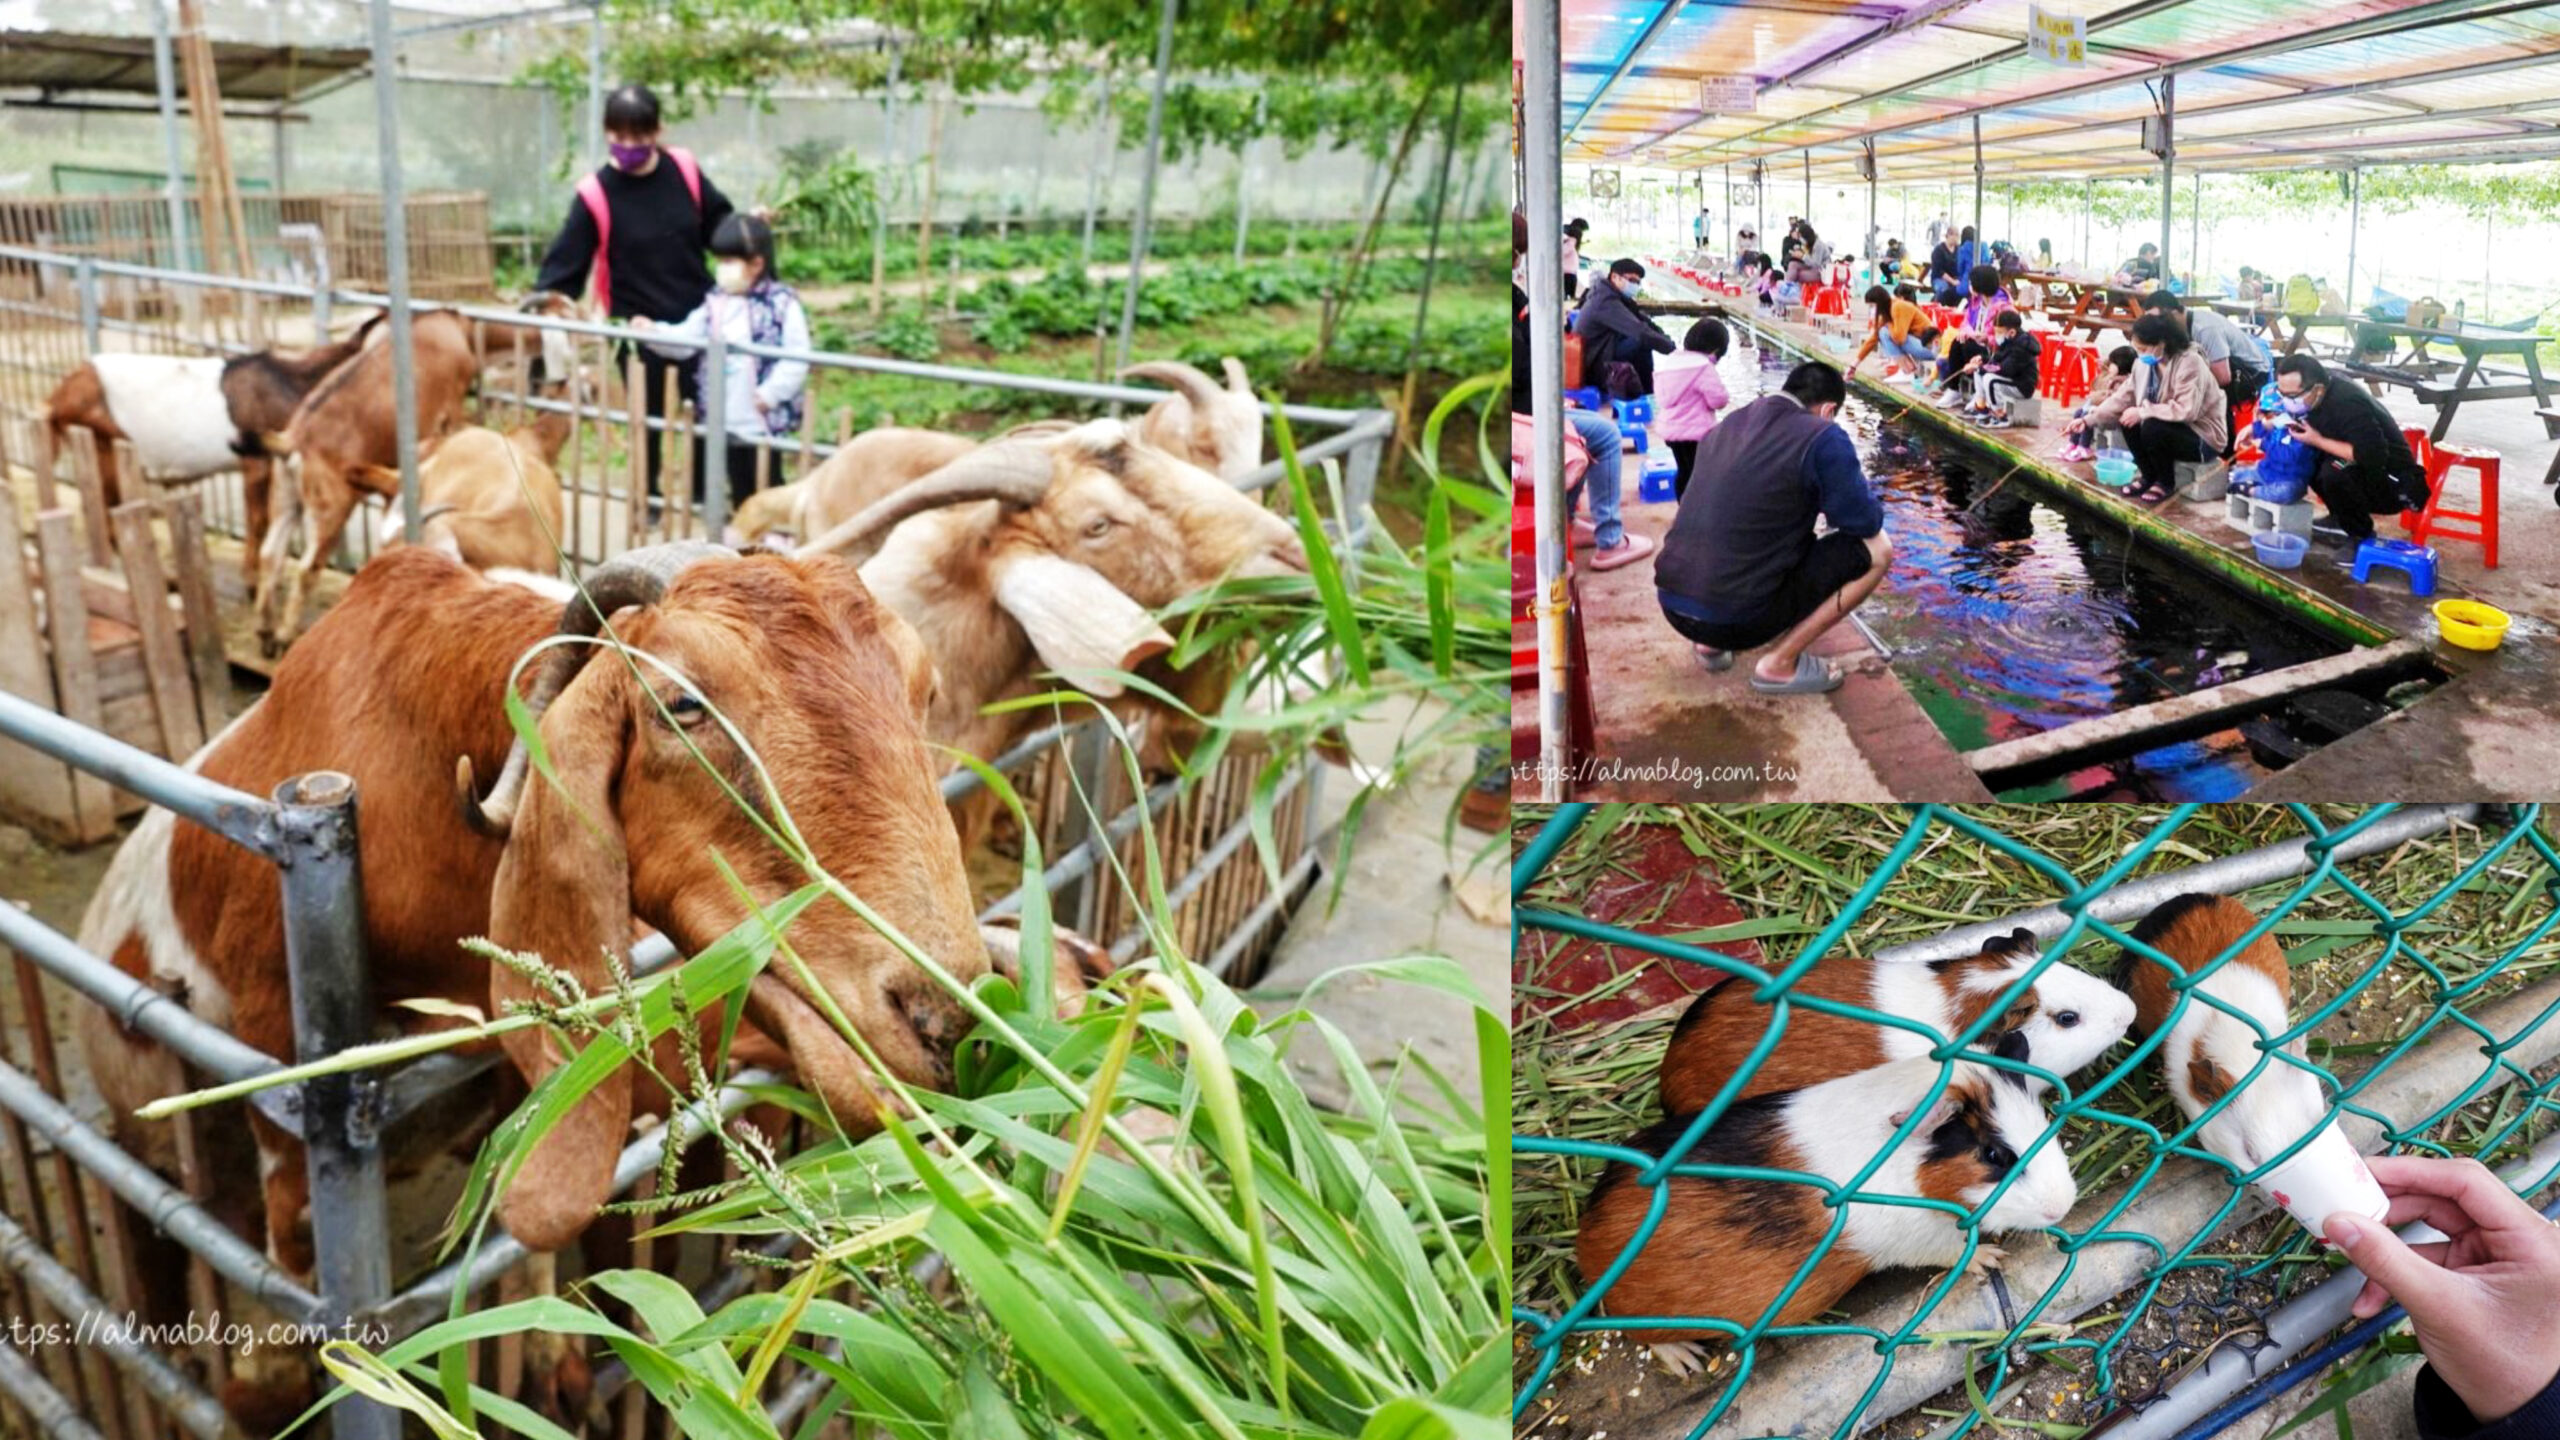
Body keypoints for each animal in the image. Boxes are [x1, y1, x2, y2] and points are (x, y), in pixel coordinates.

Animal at [259, 313, 481, 655]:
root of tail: (294, 440)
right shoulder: (451, 410)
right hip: (330, 506)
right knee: (307, 566)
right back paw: (285, 635)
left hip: (285, 497)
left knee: (270, 554)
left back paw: (266, 633)